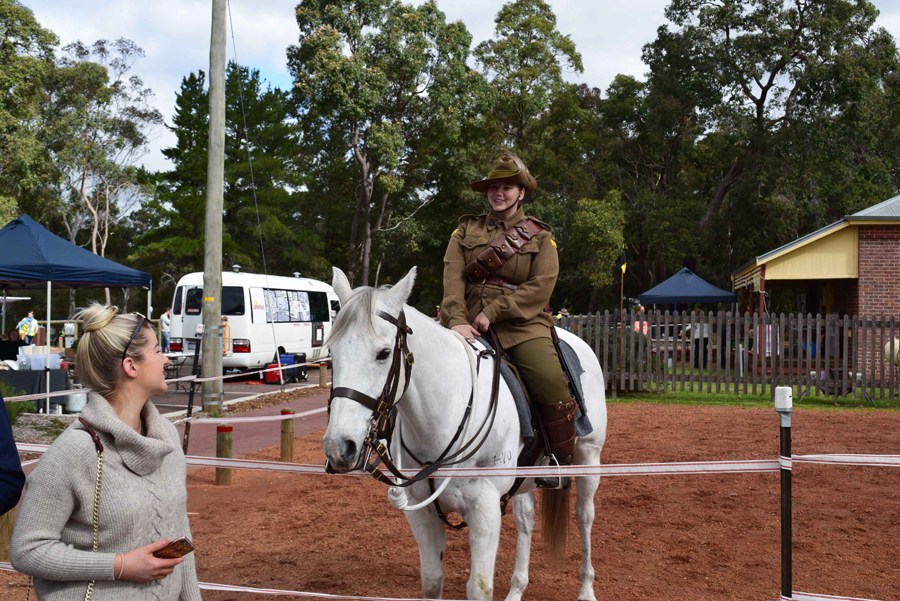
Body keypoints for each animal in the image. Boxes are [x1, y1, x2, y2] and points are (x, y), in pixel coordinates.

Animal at [320, 268, 608, 600]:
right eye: (332, 353)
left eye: (383, 353)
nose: (339, 447)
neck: (445, 415)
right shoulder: (421, 513)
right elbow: (432, 580)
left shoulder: (485, 512)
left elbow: (479, 588)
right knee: (526, 519)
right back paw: (517, 589)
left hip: (588, 458)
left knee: (585, 515)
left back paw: (586, 589)